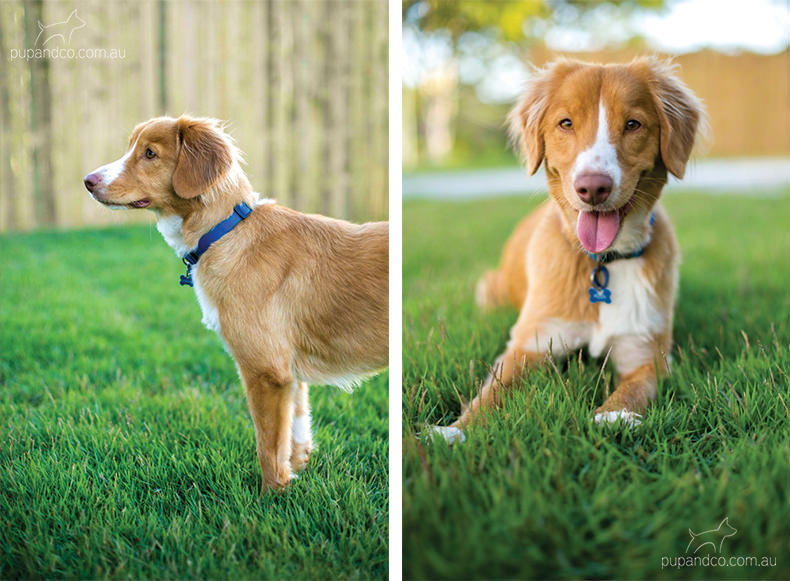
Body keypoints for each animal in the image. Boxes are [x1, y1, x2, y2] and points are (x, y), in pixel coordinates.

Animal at [84, 115, 390, 488]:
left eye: (150, 153)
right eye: (132, 147)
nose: (88, 181)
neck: (225, 231)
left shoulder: (265, 371)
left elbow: (269, 449)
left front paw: (272, 495)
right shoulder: (290, 373)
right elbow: (297, 430)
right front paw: (298, 474)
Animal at [434, 56, 704, 442]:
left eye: (633, 124)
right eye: (566, 123)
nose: (593, 188)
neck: (603, 263)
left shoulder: (644, 354)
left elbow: (634, 390)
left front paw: (615, 415)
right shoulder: (530, 345)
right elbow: (491, 393)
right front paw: (454, 432)